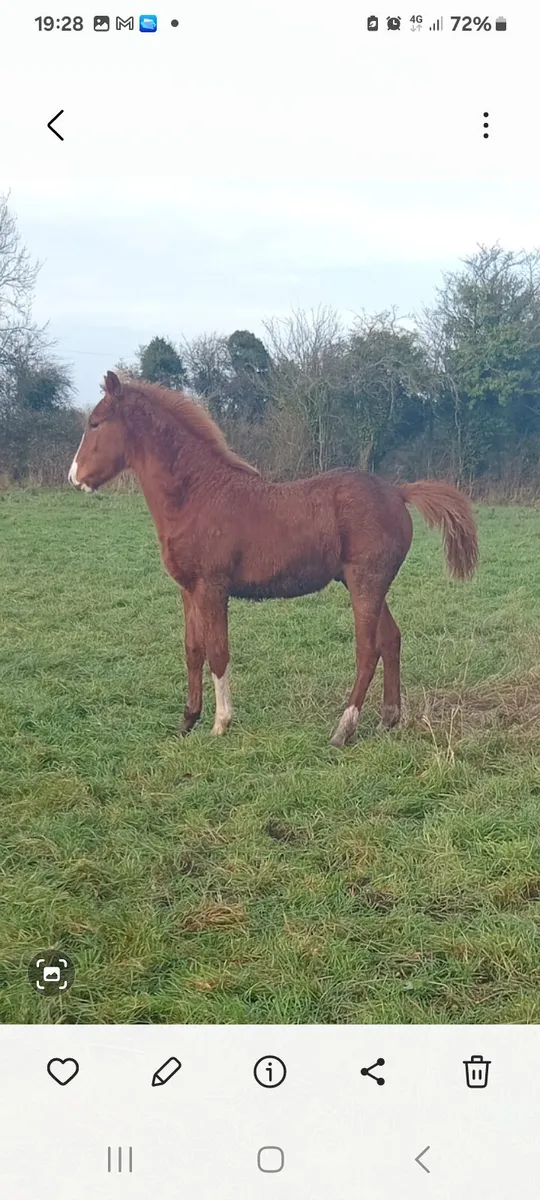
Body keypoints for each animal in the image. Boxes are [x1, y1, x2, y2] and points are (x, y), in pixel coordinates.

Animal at [69, 371, 478, 745]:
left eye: (95, 423)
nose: (74, 477)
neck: (196, 494)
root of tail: (397, 492)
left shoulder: (213, 588)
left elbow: (218, 652)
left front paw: (221, 723)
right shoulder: (188, 590)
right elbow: (193, 650)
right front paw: (187, 721)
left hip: (366, 582)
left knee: (368, 649)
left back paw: (343, 729)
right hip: (367, 585)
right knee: (391, 639)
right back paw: (387, 719)